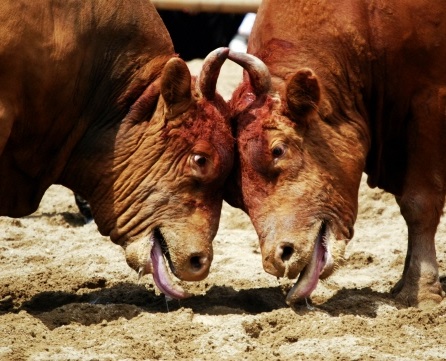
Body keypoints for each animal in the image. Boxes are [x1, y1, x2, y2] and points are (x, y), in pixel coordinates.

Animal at [226, 0, 446, 306]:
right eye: (234, 194)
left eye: (277, 150)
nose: (277, 258)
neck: (369, 19)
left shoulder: (429, 102)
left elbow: (418, 204)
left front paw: (421, 288)